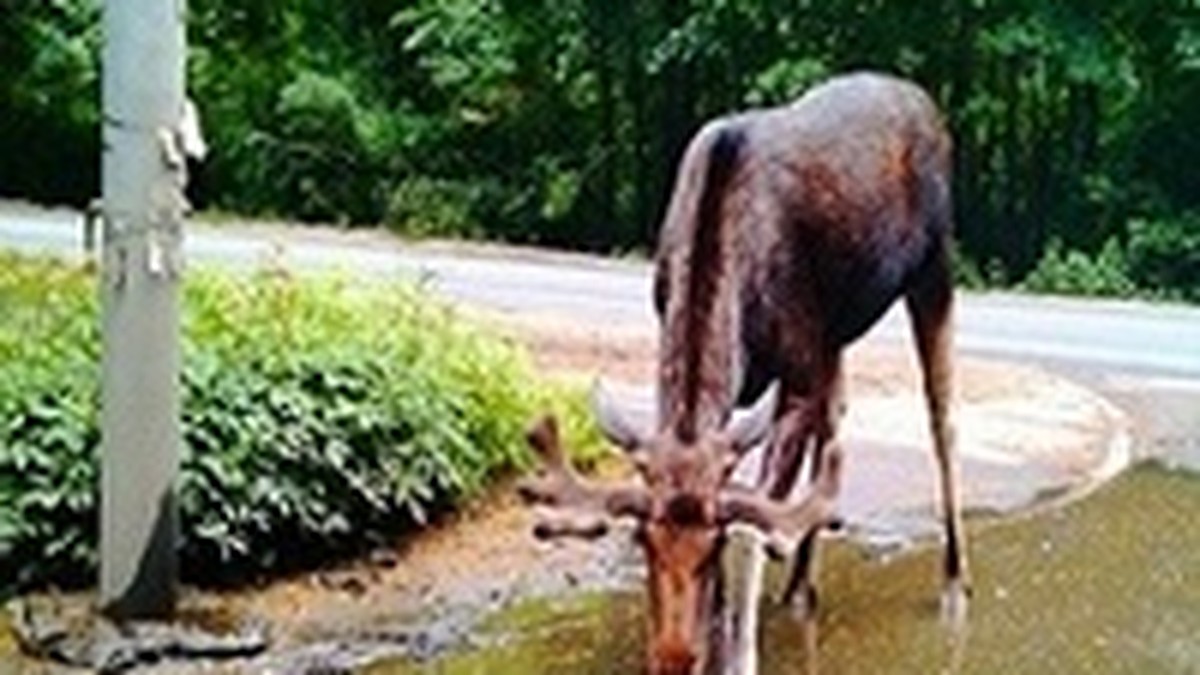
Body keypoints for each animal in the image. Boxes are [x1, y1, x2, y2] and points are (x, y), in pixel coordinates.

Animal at [520, 70, 969, 667]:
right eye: (641, 540)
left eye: (713, 547)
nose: (673, 658)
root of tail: (925, 101)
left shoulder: (797, 371)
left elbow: (758, 521)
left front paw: (739, 654)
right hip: (837, 333)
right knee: (836, 424)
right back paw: (801, 587)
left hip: (935, 268)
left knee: (942, 417)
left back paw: (955, 583)